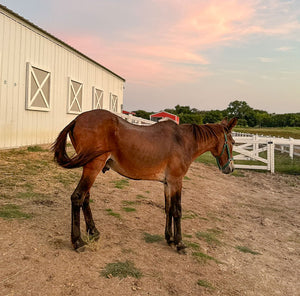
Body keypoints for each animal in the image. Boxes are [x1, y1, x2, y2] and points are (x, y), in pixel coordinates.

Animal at [52, 110, 238, 251]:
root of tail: (77, 119)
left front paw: (169, 238)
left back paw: (93, 231)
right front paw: (179, 243)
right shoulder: (176, 181)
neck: (184, 141)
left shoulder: (168, 183)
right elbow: (177, 210)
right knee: (78, 197)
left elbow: (168, 209)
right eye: (233, 141)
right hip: (93, 167)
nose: (230, 168)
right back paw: (78, 242)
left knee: (85, 198)